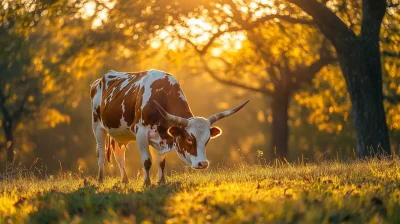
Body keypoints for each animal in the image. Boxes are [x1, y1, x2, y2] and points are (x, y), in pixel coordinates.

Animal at [90, 70, 248, 186]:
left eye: (207, 139)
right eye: (189, 138)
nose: (203, 163)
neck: (162, 94)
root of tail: (99, 81)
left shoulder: (164, 137)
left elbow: (161, 162)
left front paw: (161, 182)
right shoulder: (141, 132)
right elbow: (147, 161)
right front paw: (147, 183)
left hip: (120, 133)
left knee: (119, 154)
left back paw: (125, 181)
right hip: (97, 126)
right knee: (101, 153)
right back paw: (100, 180)